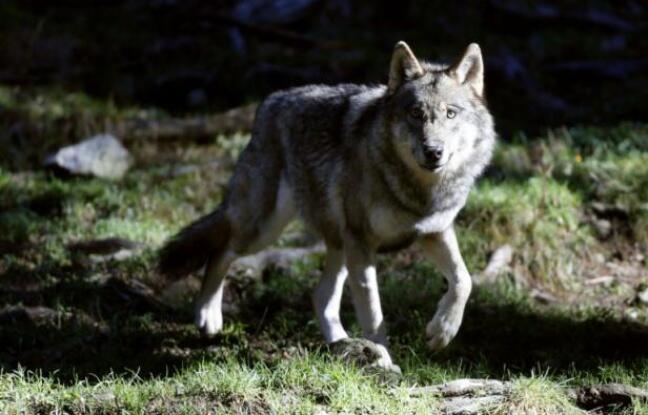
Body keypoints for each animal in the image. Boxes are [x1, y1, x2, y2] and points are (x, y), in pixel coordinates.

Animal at [161, 41, 496, 368]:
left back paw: (339, 343)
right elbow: (374, 316)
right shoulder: (362, 243)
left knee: (320, 296)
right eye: (415, 113)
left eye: (450, 113)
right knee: (221, 251)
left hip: (336, 245)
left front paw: (442, 332)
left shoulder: (434, 232)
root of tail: (271, 101)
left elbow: (463, 280)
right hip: (264, 230)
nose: (433, 151)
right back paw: (208, 316)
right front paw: (385, 361)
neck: (419, 192)